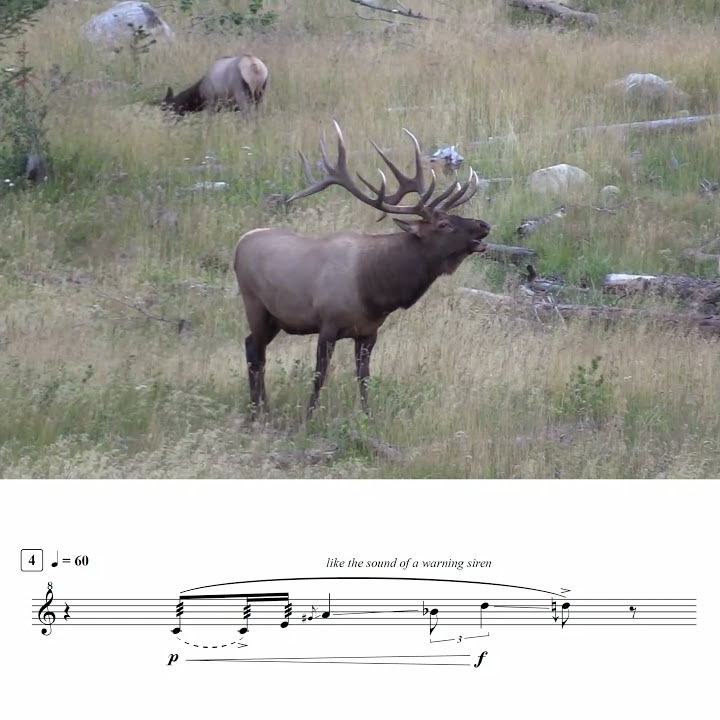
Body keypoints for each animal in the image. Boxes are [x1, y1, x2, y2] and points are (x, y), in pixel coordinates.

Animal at [234, 121, 491, 418]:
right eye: (444, 225)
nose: (484, 225)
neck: (374, 290)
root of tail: (240, 243)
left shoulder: (369, 331)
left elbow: (364, 376)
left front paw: (368, 416)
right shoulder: (328, 323)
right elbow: (319, 374)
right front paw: (309, 416)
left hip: (275, 318)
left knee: (252, 346)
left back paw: (260, 406)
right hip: (254, 304)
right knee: (255, 351)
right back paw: (258, 409)